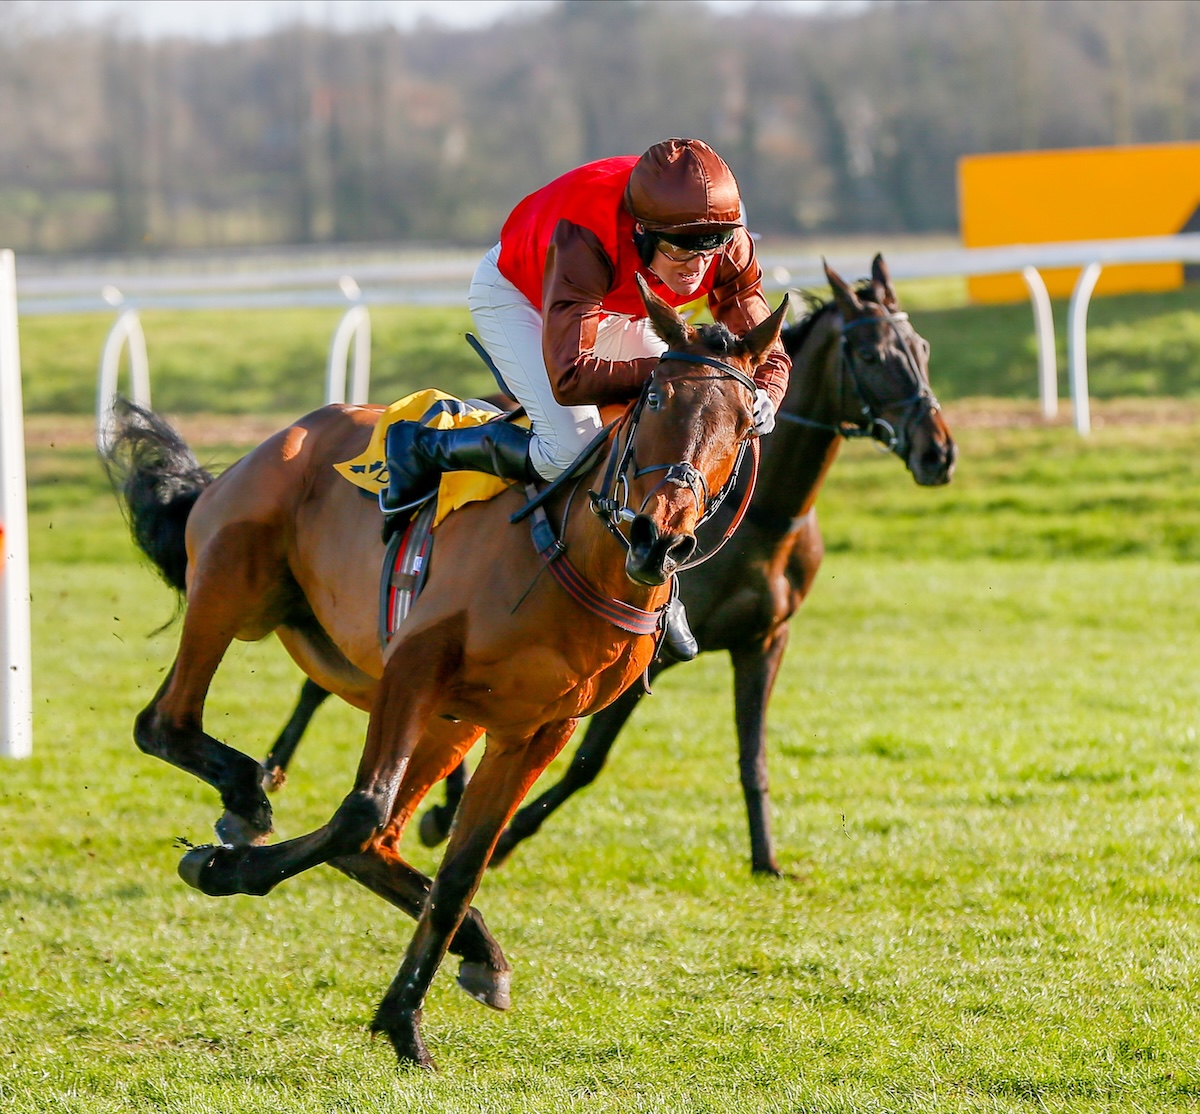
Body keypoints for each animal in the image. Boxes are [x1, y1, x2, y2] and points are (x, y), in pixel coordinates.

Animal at [105, 278, 787, 1070]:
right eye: (652, 401)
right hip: (233, 584)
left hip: (448, 721)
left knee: (378, 845)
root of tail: (276, 441)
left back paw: (476, 948)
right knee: (167, 722)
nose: (657, 537)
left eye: (742, 425)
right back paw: (245, 793)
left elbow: (458, 867)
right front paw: (221, 869)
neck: (580, 564)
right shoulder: (416, 666)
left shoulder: (536, 729)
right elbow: (358, 811)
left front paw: (406, 1017)